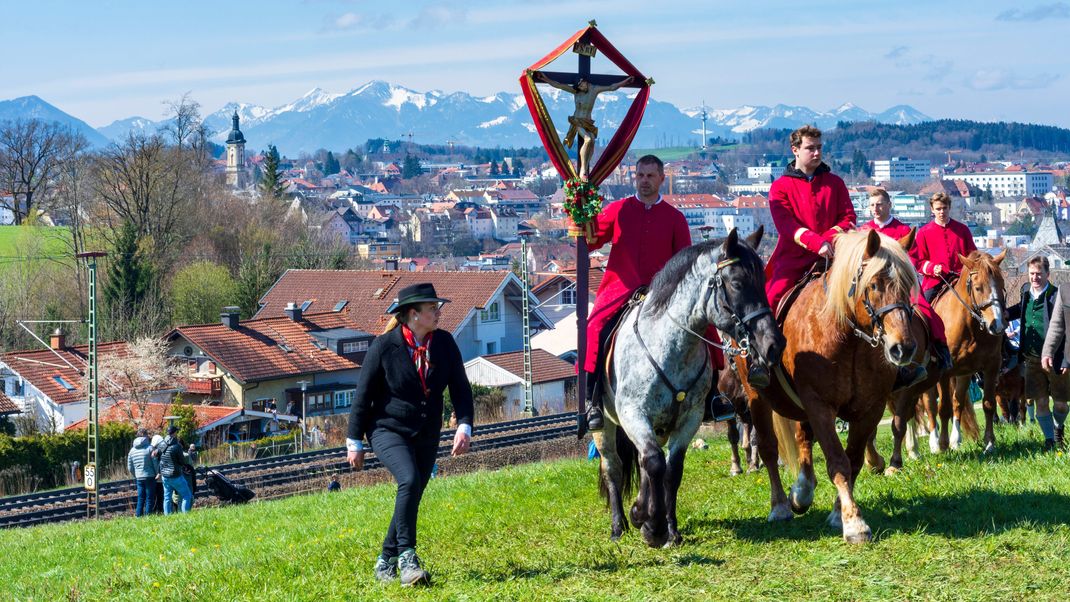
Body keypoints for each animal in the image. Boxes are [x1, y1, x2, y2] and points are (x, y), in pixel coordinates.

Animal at [594, 228, 787, 547]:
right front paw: (652, 525)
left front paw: (665, 528)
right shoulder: (634, 414)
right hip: (606, 427)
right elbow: (653, 463)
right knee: (614, 467)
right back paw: (618, 526)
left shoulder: (690, 419)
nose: (774, 344)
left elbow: (672, 470)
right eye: (737, 283)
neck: (670, 347)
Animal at [736, 228, 920, 543]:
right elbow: (838, 461)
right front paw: (853, 522)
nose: (903, 348)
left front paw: (837, 513)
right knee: (769, 448)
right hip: (756, 396)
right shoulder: (819, 405)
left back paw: (802, 491)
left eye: (908, 285)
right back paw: (780, 506)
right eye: (874, 285)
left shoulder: (870, 409)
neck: (848, 338)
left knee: (803, 437)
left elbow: (854, 459)